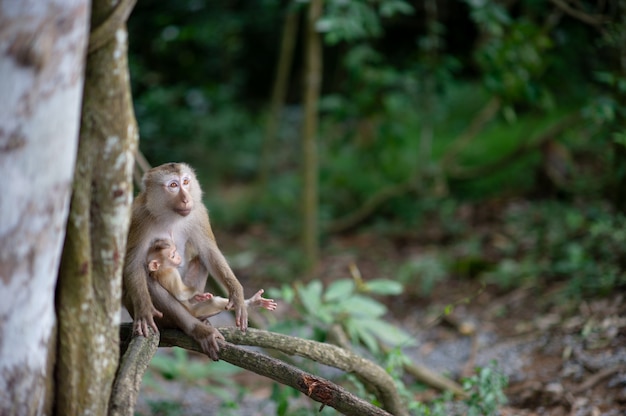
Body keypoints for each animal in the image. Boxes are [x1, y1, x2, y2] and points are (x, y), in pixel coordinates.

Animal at [120, 162, 247, 360]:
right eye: (173, 185)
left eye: (186, 182)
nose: (187, 199)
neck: (169, 215)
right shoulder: (140, 218)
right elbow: (133, 264)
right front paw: (144, 310)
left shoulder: (198, 212)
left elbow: (209, 253)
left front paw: (237, 293)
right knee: (150, 281)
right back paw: (198, 329)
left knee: (201, 260)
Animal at [147, 237, 276, 318]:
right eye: (173, 255)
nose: (178, 257)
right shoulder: (170, 273)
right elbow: (180, 293)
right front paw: (198, 293)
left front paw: (199, 296)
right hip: (194, 311)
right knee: (213, 303)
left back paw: (254, 302)